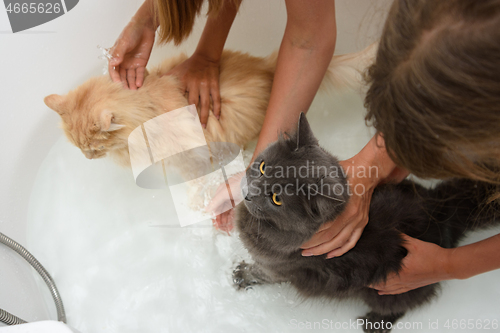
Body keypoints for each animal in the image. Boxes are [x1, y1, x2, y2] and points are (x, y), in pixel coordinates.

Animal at [234, 113, 500, 330]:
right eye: (263, 167)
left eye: (276, 199)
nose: (249, 194)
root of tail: (443, 210)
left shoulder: (278, 267)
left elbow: (260, 272)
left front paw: (242, 274)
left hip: (390, 288)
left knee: (402, 306)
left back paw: (374, 323)